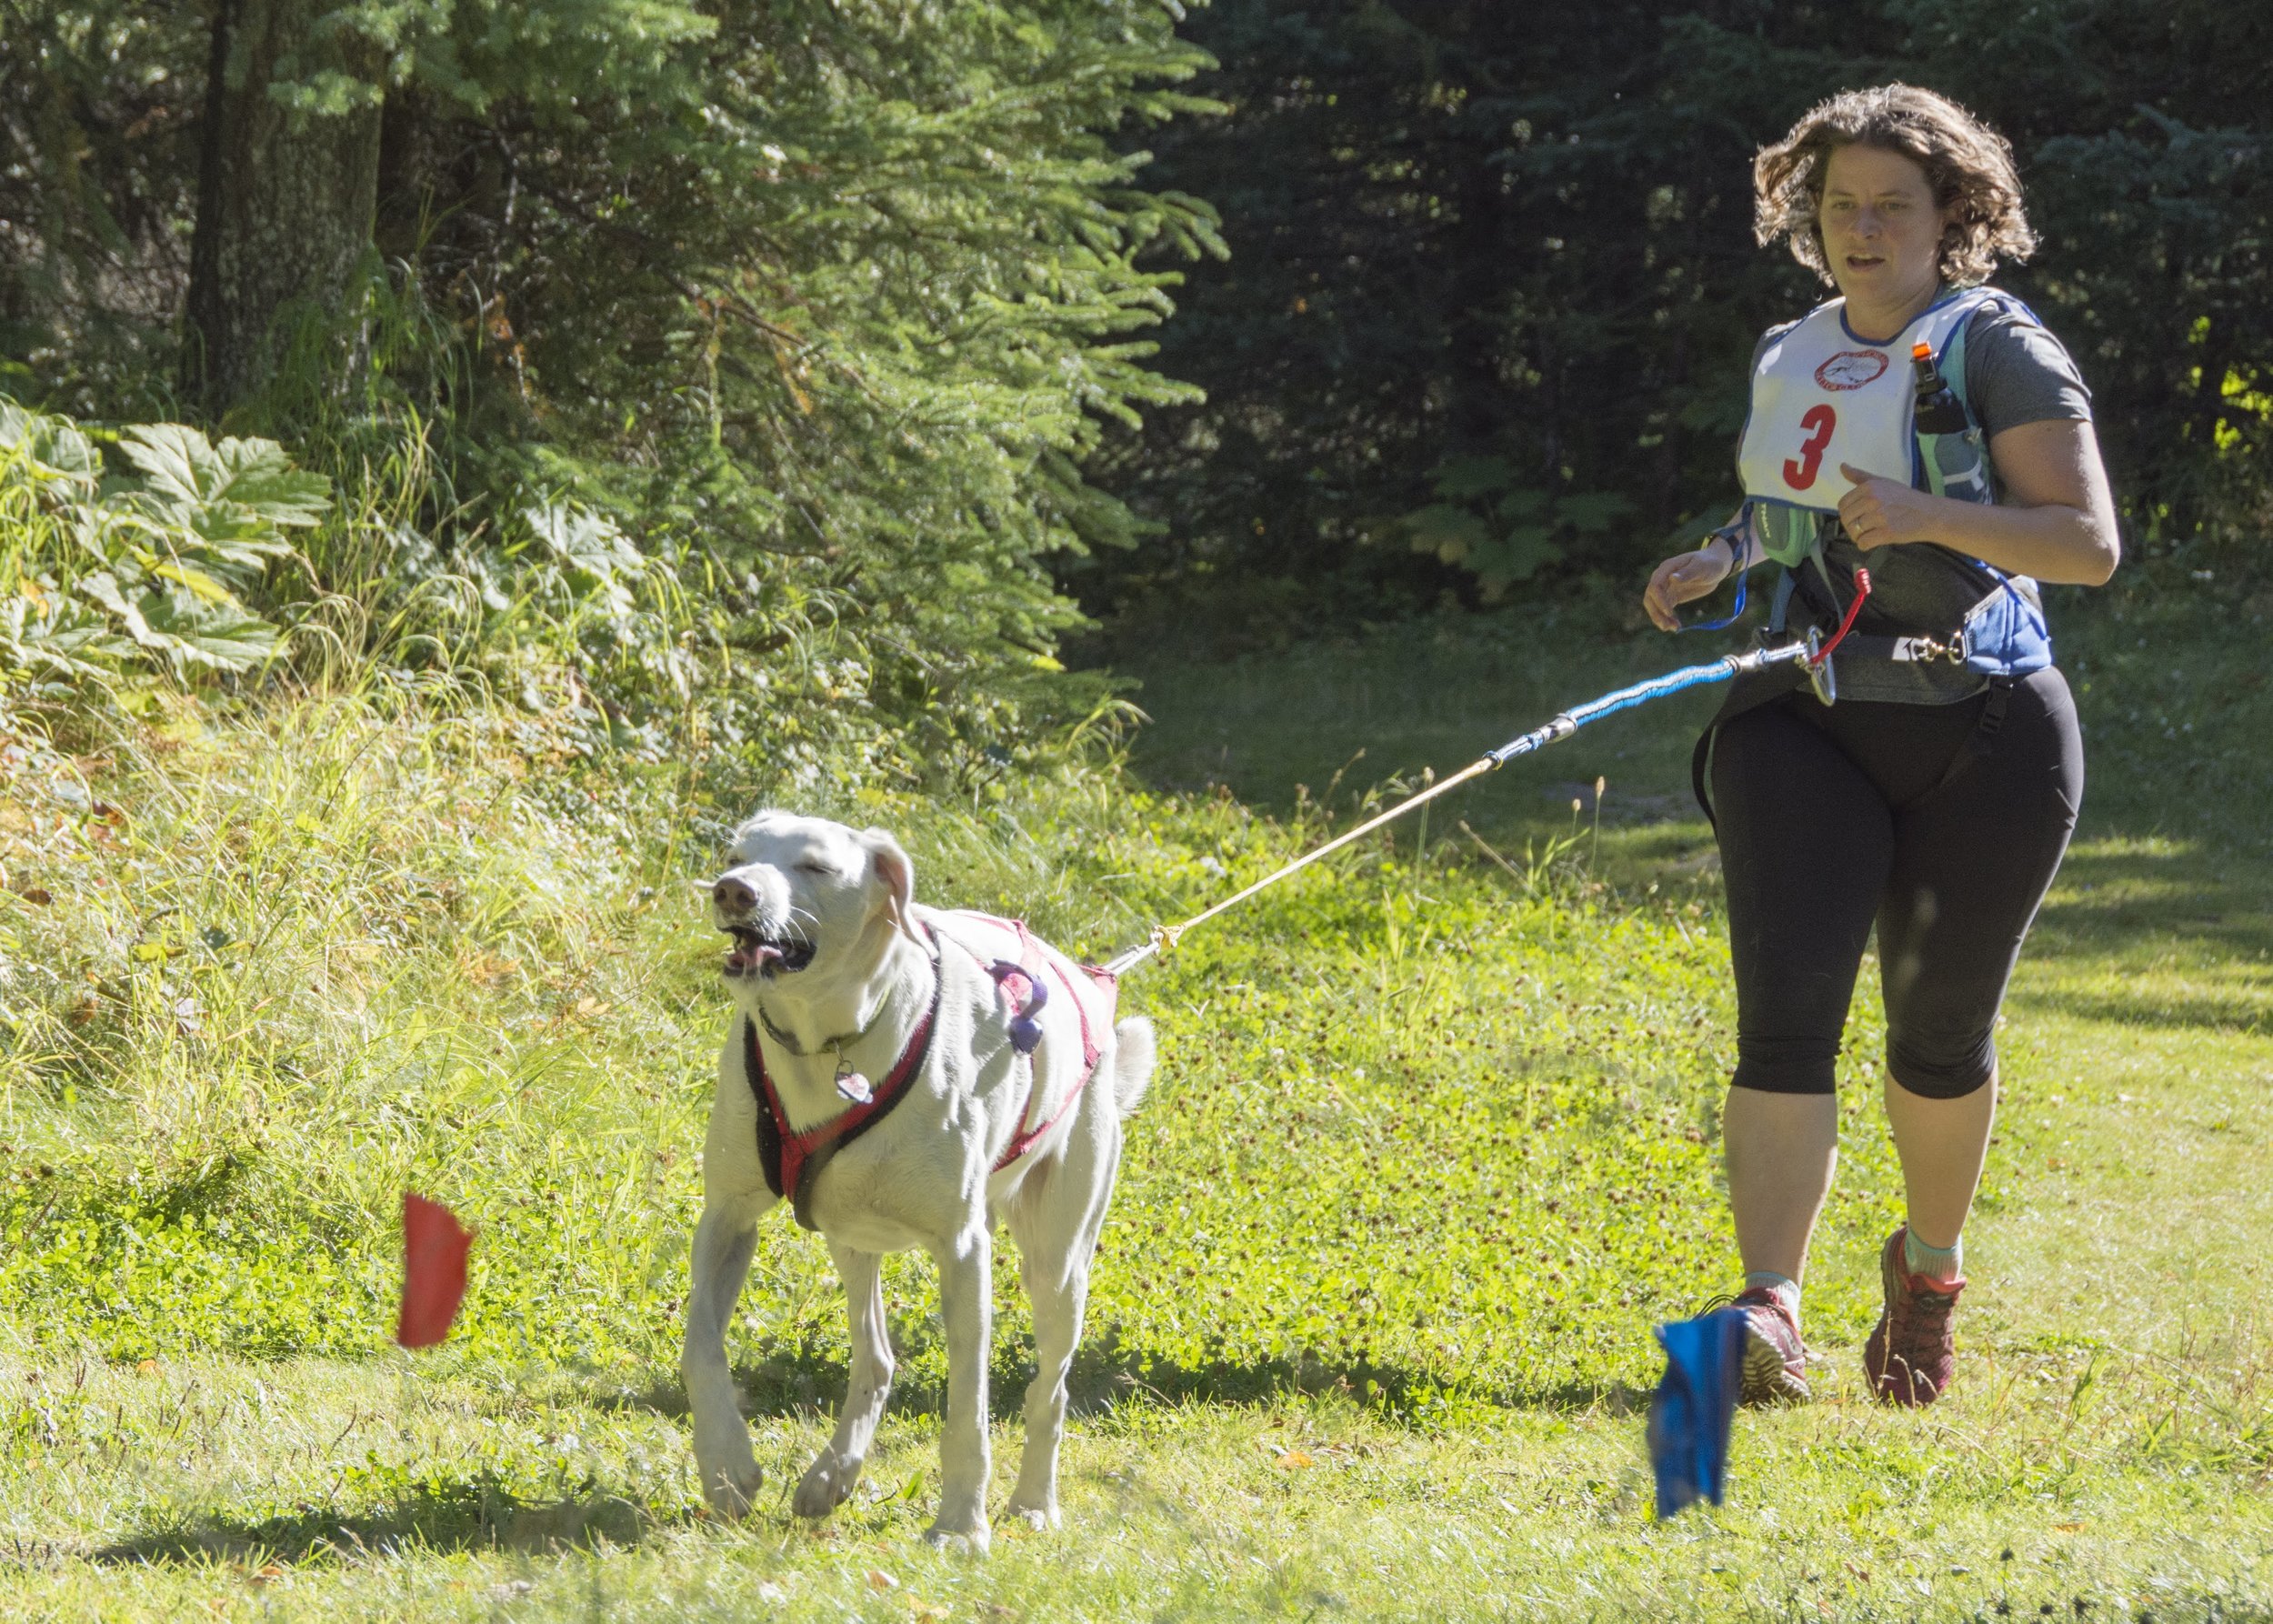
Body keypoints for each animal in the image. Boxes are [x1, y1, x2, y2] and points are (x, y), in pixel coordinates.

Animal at [677, 809, 1155, 1546]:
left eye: (815, 866)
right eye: (735, 856)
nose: (734, 891)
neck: (829, 1043)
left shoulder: (962, 1249)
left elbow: (969, 1409)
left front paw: (960, 1525)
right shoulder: (728, 1217)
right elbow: (699, 1346)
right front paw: (727, 1467)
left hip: (1057, 1259)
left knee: (1050, 1389)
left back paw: (1033, 1503)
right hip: (849, 1231)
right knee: (876, 1357)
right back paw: (832, 1475)